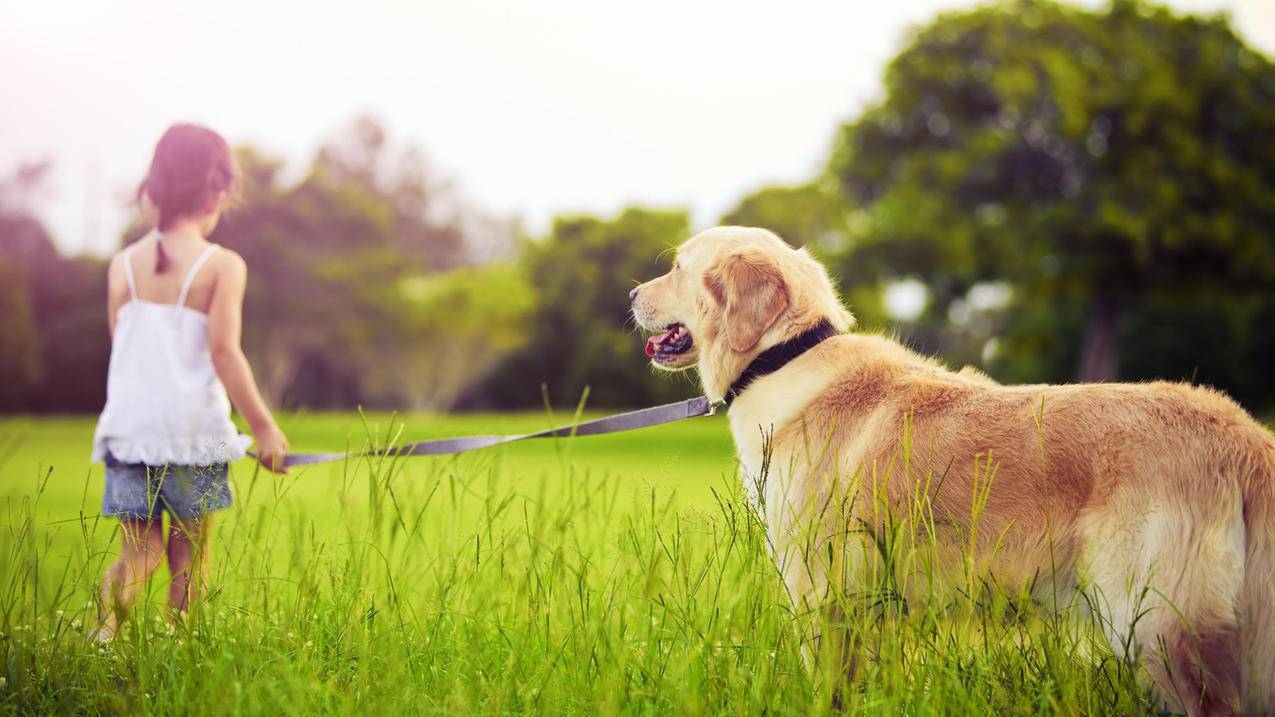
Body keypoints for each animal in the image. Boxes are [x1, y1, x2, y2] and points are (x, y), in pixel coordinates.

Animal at [629, 227, 1275, 714]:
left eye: (678, 267)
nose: (631, 294)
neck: (782, 358)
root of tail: (1245, 435)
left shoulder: (822, 590)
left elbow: (829, 688)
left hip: (1159, 628)